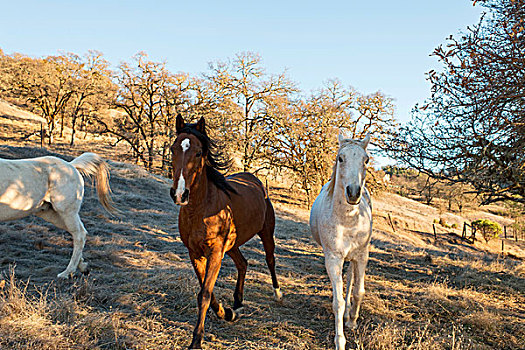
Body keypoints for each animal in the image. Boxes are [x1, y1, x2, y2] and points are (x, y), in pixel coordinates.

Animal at [170, 115, 280, 350]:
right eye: (173, 149)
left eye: (198, 153)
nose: (180, 194)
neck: (201, 208)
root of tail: (255, 180)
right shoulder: (196, 254)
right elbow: (208, 293)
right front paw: (226, 313)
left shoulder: (215, 253)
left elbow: (204, 294)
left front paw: (196, 341)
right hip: (232, 245)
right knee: (243, 264)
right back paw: (237, 303)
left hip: (266, 233)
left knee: (270, 260)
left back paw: (278, 294)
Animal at [312, 132, 372, 350]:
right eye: (340, 158)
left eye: (366, 160)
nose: (353, 193)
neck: (348, 221)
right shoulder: (333, 259)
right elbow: (337, 301)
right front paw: (340, 340)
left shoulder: (362, 256)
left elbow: (358, 292)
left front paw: (352, 321)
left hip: (354, 258)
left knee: (351, 279)